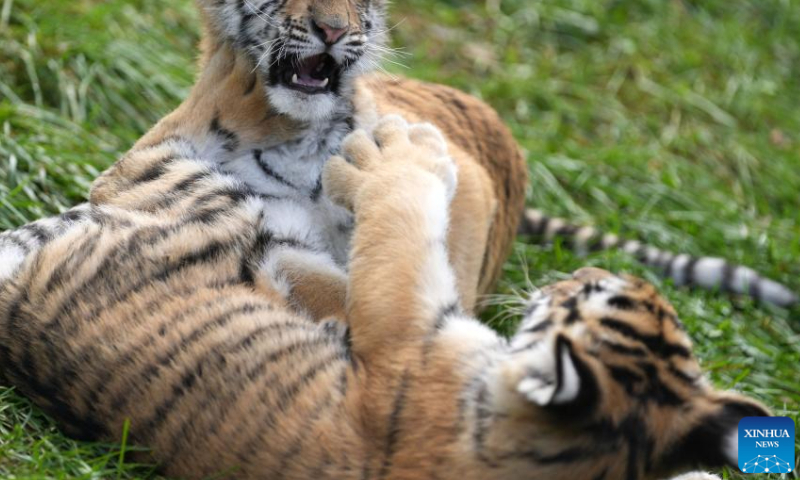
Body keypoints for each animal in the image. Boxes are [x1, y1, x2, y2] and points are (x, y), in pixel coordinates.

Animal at [0, 115, 769, 480]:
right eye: (608, 291)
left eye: (587, 295)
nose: (576, 275)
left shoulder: (406, 330)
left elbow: (400, 220)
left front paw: (396, 153)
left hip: (197, 193)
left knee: (148, 162)